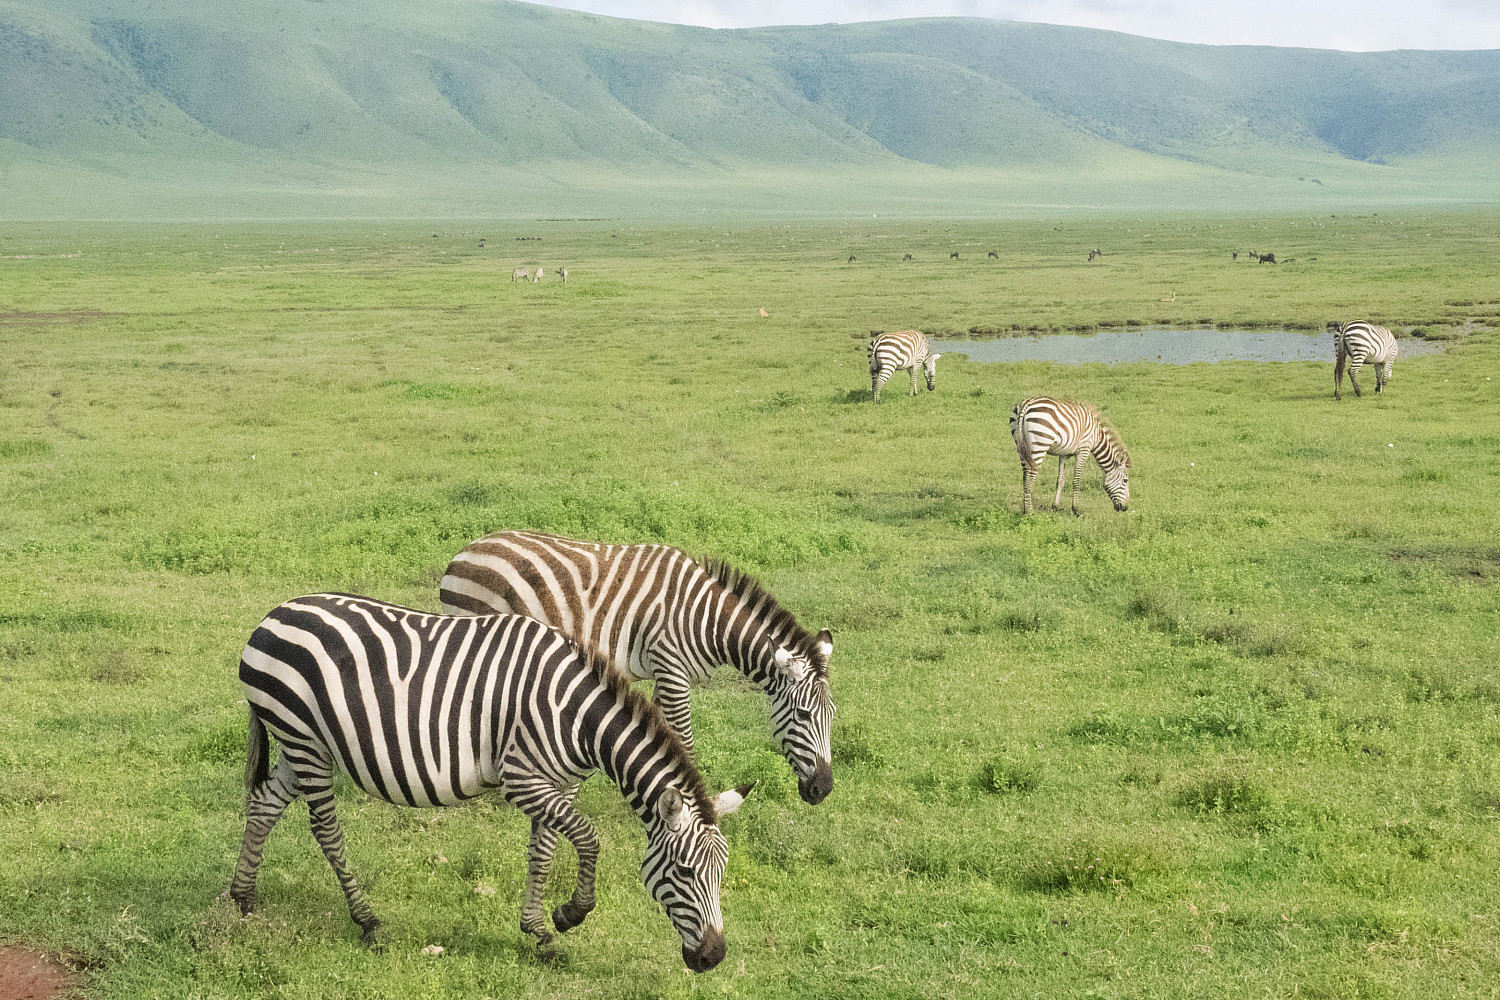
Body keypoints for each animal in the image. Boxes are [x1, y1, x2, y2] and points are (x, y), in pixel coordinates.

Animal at [230, 593, 745, 970]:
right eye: (684, 872)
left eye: (721, 873)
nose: (713, 957)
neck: (578, 717)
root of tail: (273, 615)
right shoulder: (521, 778)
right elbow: (589, 837)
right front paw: (570, 914)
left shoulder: (559, 783)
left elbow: (545, 851)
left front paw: (539, 933)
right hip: (303, 739)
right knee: (326, 830)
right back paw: (367, 920)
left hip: (302, 746)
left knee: (264, 804)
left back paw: (243, 897)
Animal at [440, 533, 835, 805]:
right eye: (803, 715)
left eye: (831, 716)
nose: (823, 790)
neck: (708, 621)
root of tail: (464, 552)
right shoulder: (672, 668)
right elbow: (685, 740)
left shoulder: (665, 674)